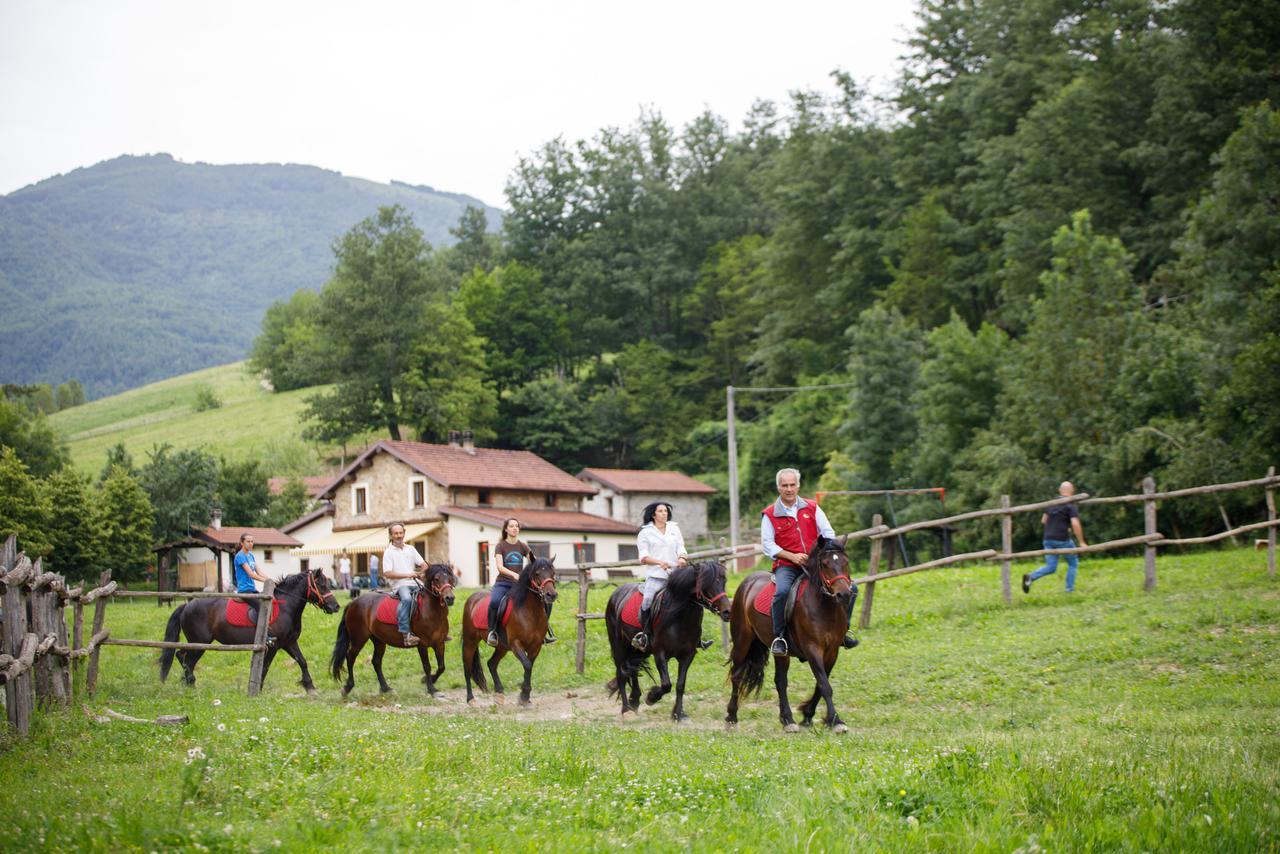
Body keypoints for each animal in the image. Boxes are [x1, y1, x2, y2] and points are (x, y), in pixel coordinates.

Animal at [158, 568, 340, 696]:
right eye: (321, 585)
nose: (336, 607)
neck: (286, 607)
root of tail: (186, 605)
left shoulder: (289, 642)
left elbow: (302, 661)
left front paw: (310, 687)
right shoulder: (273, 646)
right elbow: (265, 667)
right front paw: (257, 690)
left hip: (197, 643)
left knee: (182, 656)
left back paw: (188, 683)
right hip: (200, 643)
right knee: (187, 660)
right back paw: (191, 682)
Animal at [327, 563, 458, 696]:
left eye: (450, 578)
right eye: (436, 579)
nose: (450, 598)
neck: (432, 612)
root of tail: (353, 602)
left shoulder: (440, 643)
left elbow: (441, 666)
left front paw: (427, 679)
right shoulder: (422, 644)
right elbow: (427, 666)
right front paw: (431, 688)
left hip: (379, 640)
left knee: (376, 661)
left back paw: (385, 688)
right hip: (359, 638)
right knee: (350, 657)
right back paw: (348, 687)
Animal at [463, 558, 558, 706]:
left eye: (553, 573)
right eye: (537, 573)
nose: (551, 595)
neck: (530, 612)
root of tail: (472, 598)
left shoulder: (535, 646)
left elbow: (529, 666)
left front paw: (525, 697)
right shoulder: (515, 644)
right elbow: (527, 665)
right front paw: (524, 696)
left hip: (501, 647)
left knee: (491, 664)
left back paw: (499, 694)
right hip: (470, 641)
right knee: (467, 669)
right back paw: (471, 699)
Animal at [601, 560, 732, 722]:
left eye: (724, 581)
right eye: (706, 584)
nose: (727, 612)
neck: (679, 619)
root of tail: (616, 593)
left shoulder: (688, 655)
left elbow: (680, 685)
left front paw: (678, 714)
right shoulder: (660, 654)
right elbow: (666, 684)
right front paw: (651, 697)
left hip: (637, 650)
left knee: (633, 669)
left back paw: (634, 701)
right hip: (618, 645)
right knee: (621, 673)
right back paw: (626, 709)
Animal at [727, 537, 855, 732]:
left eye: (845, 562)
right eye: (824, 564)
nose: (844, 594)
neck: (824, 608)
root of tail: (748, 582)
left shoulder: (832, 651)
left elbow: (820, 684)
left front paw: (808, 715)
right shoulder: (812, 649)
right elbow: (825, 685)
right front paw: (836, 721)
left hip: (781, 652)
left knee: (780, 682)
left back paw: (787, 720)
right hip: (742, 642)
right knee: (737, 676)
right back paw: (731, 717)